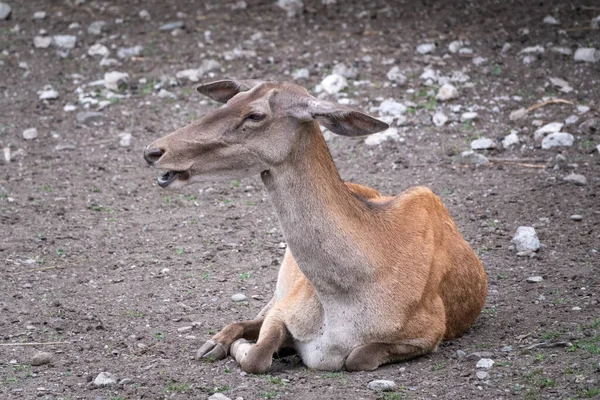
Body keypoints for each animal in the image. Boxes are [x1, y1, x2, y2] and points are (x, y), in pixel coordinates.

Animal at [144, 79, 488, 374]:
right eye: (229, 101)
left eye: (255, 115)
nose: (153, 151)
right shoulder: (286, 306)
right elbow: (257, 354)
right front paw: (253, 346)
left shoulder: (431, 330)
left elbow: (359, 357)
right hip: (278, 289)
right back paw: (213, 344)